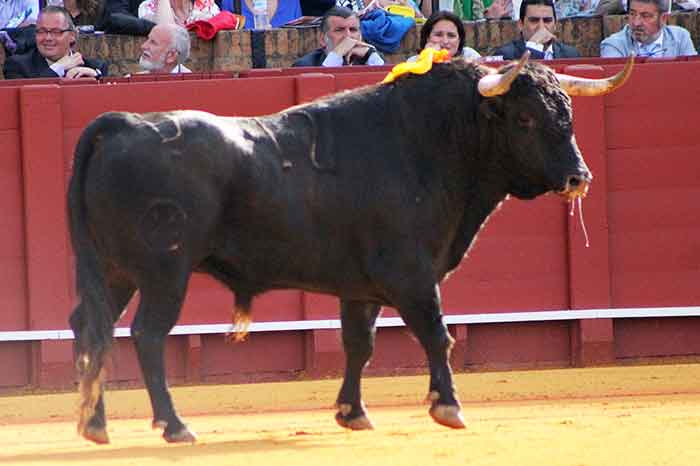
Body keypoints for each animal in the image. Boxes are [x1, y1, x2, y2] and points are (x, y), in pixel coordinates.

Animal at [68, 55, 632, 444]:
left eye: (567, 114)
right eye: (525, 120)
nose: (579, 178)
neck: (427, 143)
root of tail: (121, 122)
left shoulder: (360, 288)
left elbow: (359, 345)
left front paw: (352, 413)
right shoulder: (411, 274)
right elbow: (438, 335)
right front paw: (448, 407)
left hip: (114, 270)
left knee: (92, 329)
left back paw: (94, 424)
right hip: (165, 270)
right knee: (146, 334)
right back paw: (173, 425)